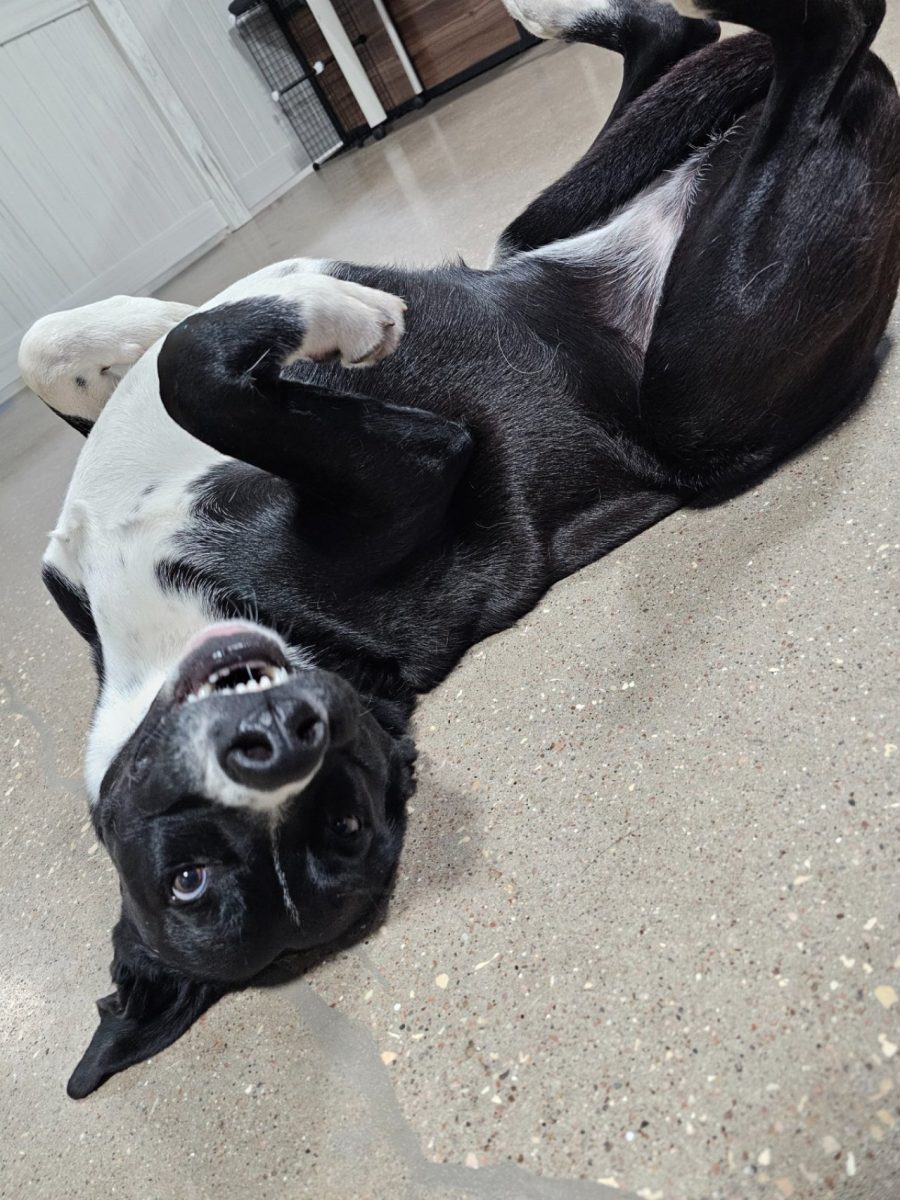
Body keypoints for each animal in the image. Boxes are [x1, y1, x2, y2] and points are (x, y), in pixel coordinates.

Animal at [17, 0, 900, 1097]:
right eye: (192, 878)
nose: (286, 738)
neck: (156, 629)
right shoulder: (422, 462)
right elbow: (184, 362)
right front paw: (326, 318)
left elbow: (110, 350)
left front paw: (239, 316)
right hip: (700, 373)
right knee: (825, 42)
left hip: (556, 219)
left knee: (689, 50)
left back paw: (567, 20)